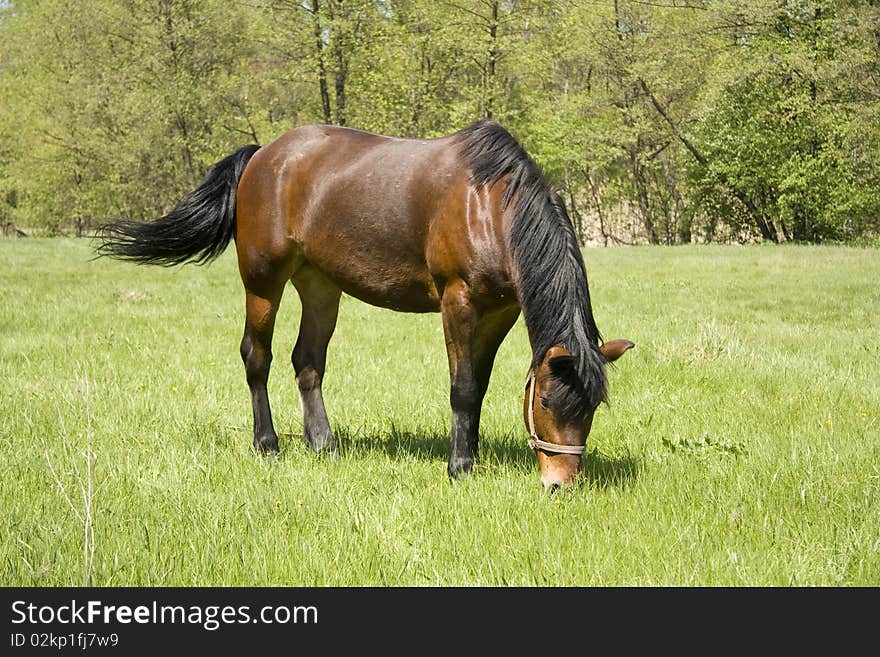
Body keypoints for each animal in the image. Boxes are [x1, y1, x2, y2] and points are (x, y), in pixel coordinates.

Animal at [98, 119, 632, 486]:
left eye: (592, 409)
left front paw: (473, 456)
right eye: (546, 401)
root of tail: (263, 155)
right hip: (263, 282)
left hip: (319, 285)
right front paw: (459, 466)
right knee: (257, 356)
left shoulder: (500, 311)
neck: (489, 206)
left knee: (307, 361)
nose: (561, 484)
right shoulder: (457, 301)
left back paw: (323, 444)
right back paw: (267, 444)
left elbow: (478, 387)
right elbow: (462, 388)